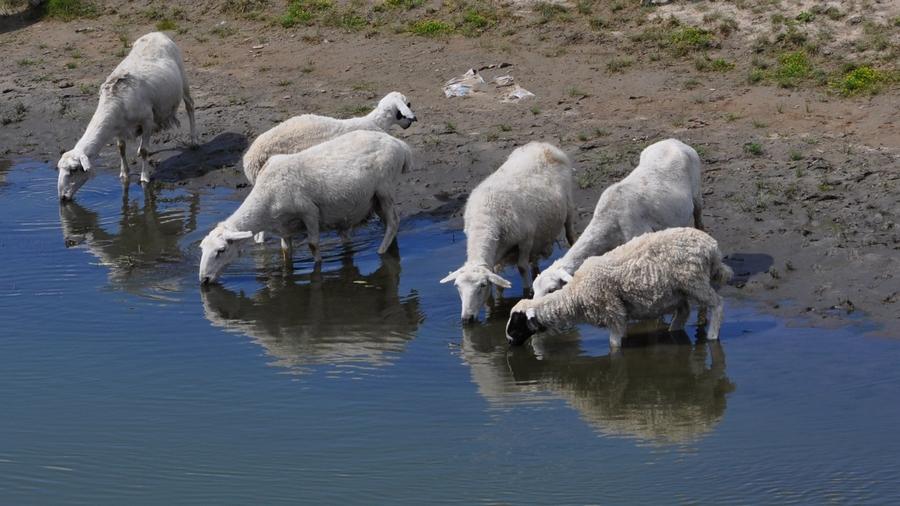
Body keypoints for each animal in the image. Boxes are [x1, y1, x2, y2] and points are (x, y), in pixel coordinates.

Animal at [57, 30, 197, 201]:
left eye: (74, 170)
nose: (62, 197)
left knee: (190, 105)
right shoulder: (119, 128)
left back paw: (194, 140)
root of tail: (156, 33)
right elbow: (121, 149)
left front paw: (145, 177)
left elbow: (144, 151)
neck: (115, 101)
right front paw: (124, 174)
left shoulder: (147, 119)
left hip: (183, 78)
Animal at [200, 129, 412, 284]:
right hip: (374, 199)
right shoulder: (284, 228)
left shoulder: (309, 211)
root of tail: (399, 144)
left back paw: (381, 252)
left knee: (394, 221)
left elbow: (313, 244)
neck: (266, 198)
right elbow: (286, 251)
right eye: (202, 249)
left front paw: (317, 268)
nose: (204, 280)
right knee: (388, 223)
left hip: (385, 188)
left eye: (221, 251)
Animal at [506, 228, 732, 350]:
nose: (508, 343)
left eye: (516, 325)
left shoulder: (613, 313)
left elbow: (614, 346)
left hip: (694, 281)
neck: (576, 293)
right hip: (678, 290)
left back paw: (712, 336)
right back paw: (673, 331)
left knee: (718, 304)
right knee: (684, 311)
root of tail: (712, 247)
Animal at [536, 136, 704, 298]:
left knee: (698, 217)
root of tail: (674, 141)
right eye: (534, 290)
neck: (608, 224)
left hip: (697, 191)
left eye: (551, 290)